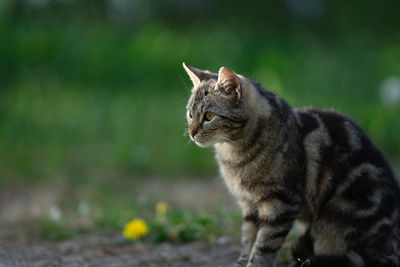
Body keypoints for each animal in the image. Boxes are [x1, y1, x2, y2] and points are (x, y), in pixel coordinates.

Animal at [184, 62, 400, 267]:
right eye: (190, 114)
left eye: (209, 116)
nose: (192, 132)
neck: (233, 153)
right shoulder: (249, 205)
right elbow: (248, 243)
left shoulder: (281, 203)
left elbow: (263, 247)